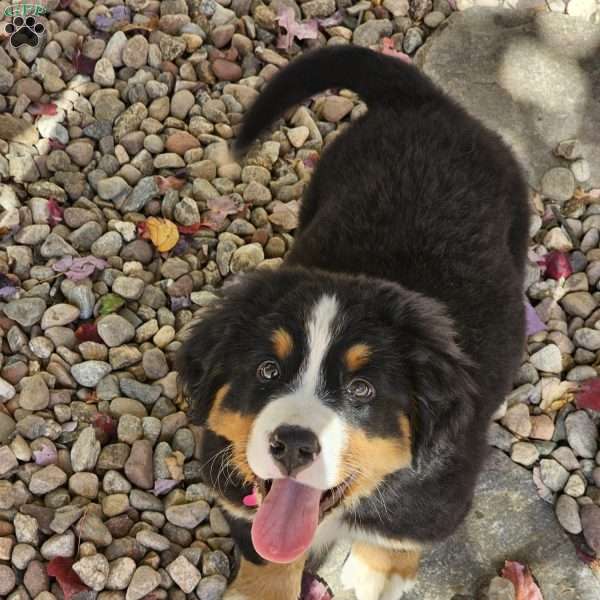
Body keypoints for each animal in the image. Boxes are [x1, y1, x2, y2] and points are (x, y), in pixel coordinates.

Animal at [176, 44, 528, 596]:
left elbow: (395, 534)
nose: (294, 444)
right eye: (266, 371)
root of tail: (425, 102)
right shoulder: (232, 480)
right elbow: (263, 550)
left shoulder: (433, 497)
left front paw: (378, 573)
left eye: (362, 389)